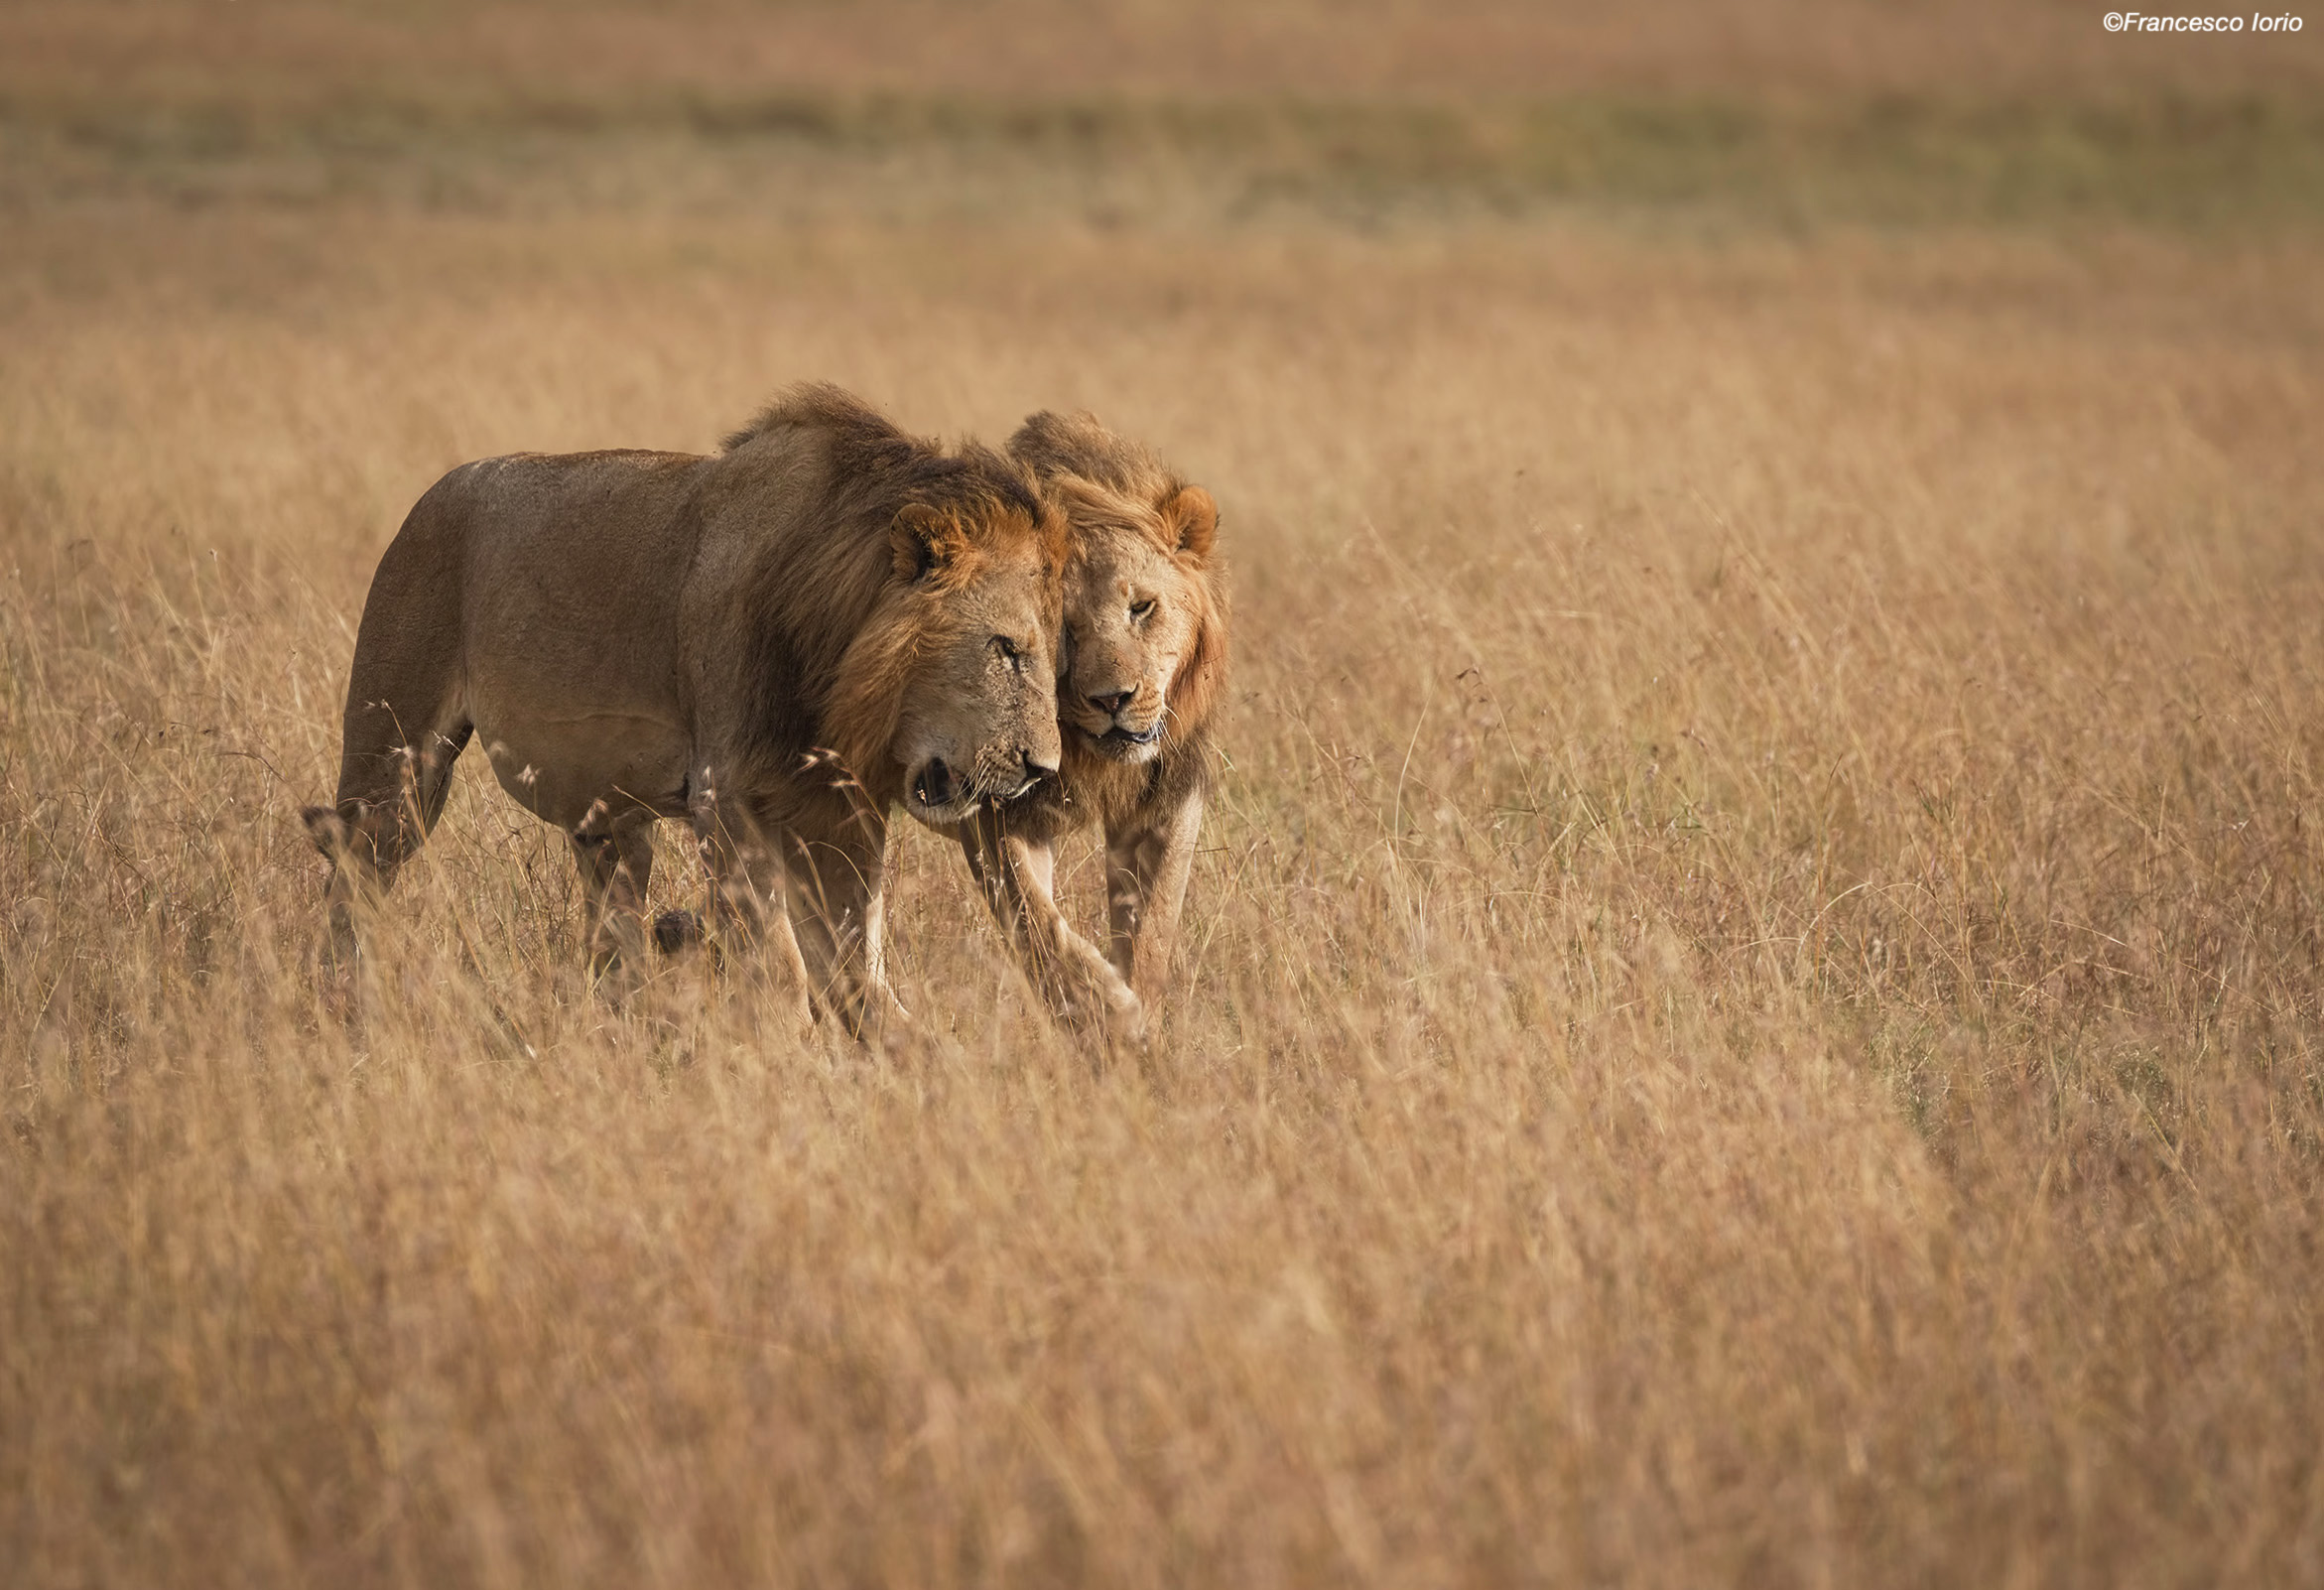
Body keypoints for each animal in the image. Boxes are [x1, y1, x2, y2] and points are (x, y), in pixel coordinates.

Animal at [301, 383, 1068, 1037]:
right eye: (1005, 649)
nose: (1043, 768)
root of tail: (429, 497)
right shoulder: (724, 795)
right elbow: (782, 967)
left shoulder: (838, 813)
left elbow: (856, 961)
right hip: (396, 765)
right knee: (354, 880)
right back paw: (343, 1005)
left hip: (612, 828)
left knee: (613, 933)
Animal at [949, 411, 1228, 1046]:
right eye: (1063, 628)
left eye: (1141, 607)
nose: (1113, 699)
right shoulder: (997, 815)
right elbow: (1036, 923)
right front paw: (1105, 1013)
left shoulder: (1170, 799)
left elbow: (1153, 923)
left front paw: (1142, 1021)